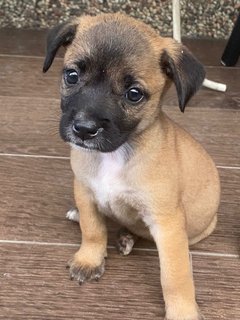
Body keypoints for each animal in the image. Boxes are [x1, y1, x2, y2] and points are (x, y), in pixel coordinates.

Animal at [42, 13, 219, 320]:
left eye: (134, 94)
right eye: (72, 76)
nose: (84, 129)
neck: (115, 155)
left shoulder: (167, 224)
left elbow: (175, 276)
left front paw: (182, 311)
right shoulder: (84, 190)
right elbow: (92, 229)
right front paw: (89, 259)